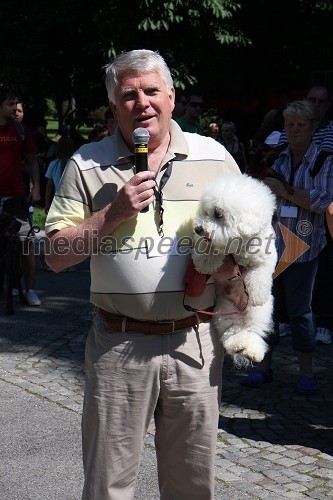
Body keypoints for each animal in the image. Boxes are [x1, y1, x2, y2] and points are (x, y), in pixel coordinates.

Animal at [191, 174, 276, 366]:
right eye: (206, 212)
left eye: (218, 214)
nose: (198, 229)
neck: (238, 246)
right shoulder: (215, 243)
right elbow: (208, 248)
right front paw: (205, 263)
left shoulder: (266, 258)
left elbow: (260, 274)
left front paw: (257, 295)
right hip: (224, 310)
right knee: (233, 331)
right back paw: (238, 346)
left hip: (258, 313)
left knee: (252, 331)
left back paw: (252, 351)